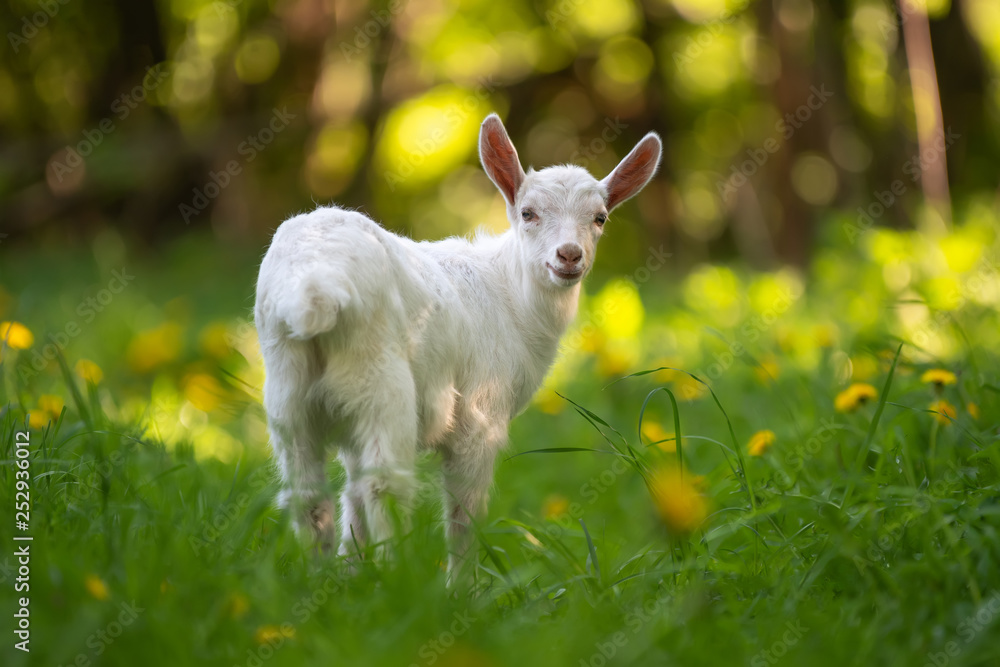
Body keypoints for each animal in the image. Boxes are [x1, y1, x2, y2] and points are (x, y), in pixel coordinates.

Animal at [256, 115, 664, 576]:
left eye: (600, 218)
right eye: (528, 213)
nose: (569, 256)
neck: (511, 297)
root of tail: (314, 285)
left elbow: (352, 498)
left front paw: (351, 573)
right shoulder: (480, 414)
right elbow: (464, 512)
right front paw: (460, 586)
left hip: (288, 391)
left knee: (309, 496)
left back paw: (319, 579)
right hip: (382, 384)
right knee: (386, 485)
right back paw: (396, 580)